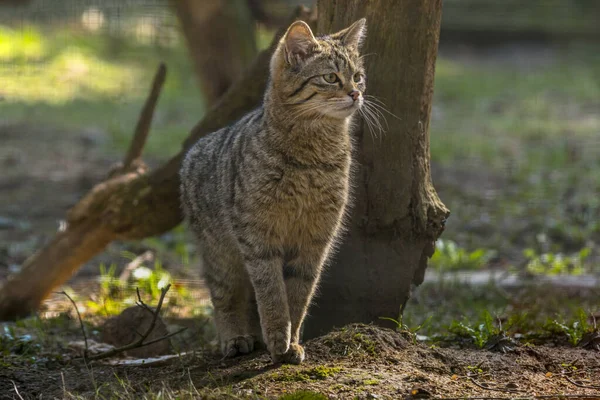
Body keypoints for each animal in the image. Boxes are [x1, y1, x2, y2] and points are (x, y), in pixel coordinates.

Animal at [179, 17, 366, 364]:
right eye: (330, 77)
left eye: (358, 77)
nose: (356, 94)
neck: (312, 158)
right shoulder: (258, 236)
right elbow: (272, 293)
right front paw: (279, 336)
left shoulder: (316, 240)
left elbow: (299, 295)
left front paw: (292, 342)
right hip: (221, 255)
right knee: (225, 298)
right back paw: (235, 337)